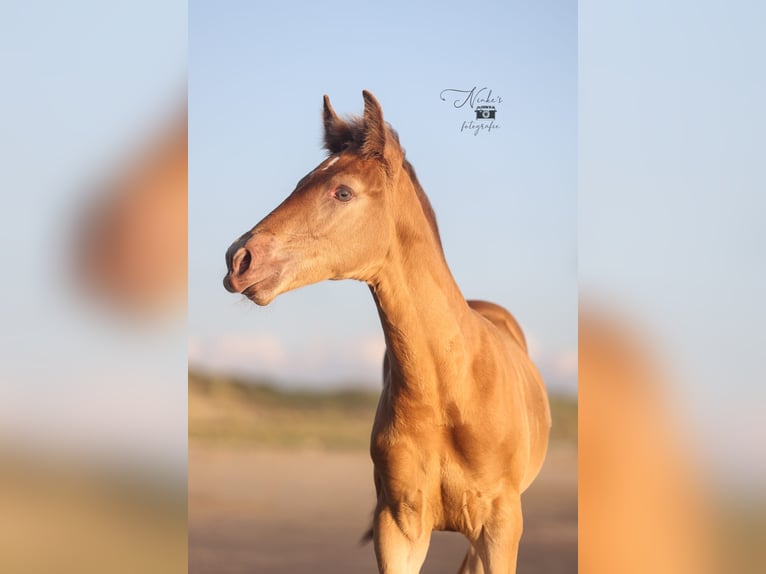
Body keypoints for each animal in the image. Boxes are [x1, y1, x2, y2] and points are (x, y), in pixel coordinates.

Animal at [223, 91, 550, 573]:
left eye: (342, 191)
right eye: (300, 182)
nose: (239, 259)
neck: (449, 396)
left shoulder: (500, 527)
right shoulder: (398, 527)